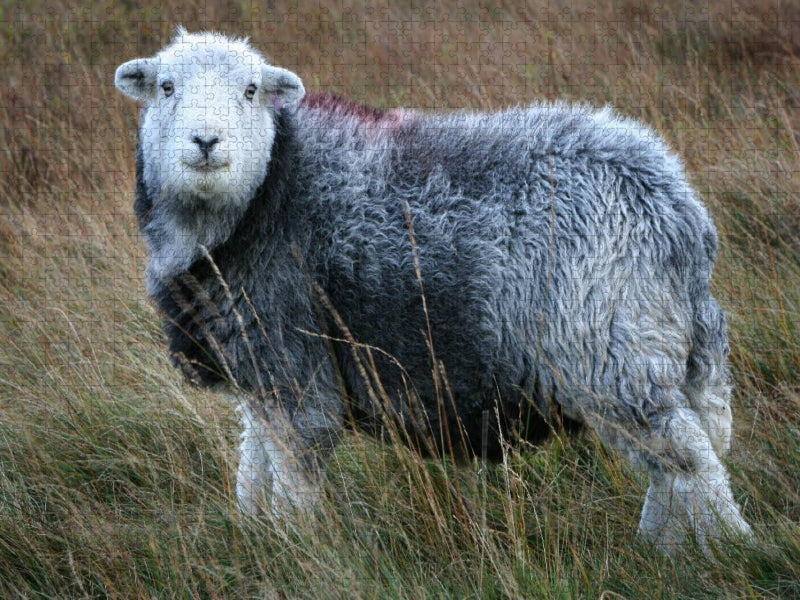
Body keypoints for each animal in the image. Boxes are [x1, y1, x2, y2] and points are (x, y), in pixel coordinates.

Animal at [115, 28, 752, 552]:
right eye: (166, 87)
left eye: (251, 91)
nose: (205, 142)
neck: (263, 197)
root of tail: (677, 206)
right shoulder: (256, 363)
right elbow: (254, 464)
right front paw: (254, 538)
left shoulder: (295, 368)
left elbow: (293, 476)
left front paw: (296, 550)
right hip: (640, 344)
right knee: (674, 463)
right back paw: (660, 548)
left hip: (609, 344)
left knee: (689, 458)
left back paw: (729, 549)